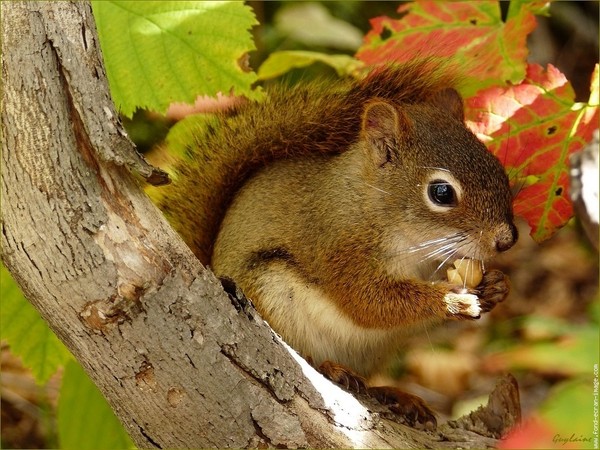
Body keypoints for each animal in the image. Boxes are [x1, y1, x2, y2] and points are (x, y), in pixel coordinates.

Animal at [149, 60, 516, 428]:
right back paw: (330, 368)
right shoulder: (337, 245)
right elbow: (368, 301)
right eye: (441, 193)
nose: (507, 239)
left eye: (498, 167)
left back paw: (394, 394)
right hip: (269, 292)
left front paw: (496, 286)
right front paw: (452, 301)